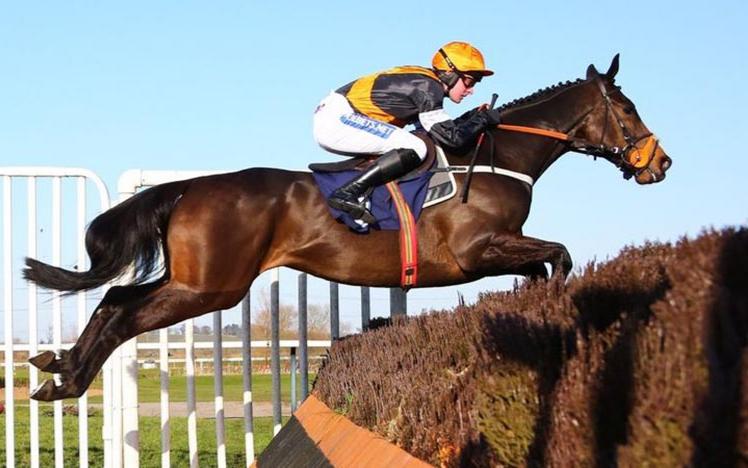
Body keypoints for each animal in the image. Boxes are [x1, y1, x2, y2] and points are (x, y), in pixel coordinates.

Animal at [21, 54, 672, 398]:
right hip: (212, 286)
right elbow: (559, 255)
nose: (660, 163)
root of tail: (193, 186)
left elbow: (544, 263)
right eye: (629, 108)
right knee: (124, 309)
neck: (495, 155)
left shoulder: (499, 251)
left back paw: (57, 369)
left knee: (113, 300)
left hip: (196, 279)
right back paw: (69, 379)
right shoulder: (476, 250)